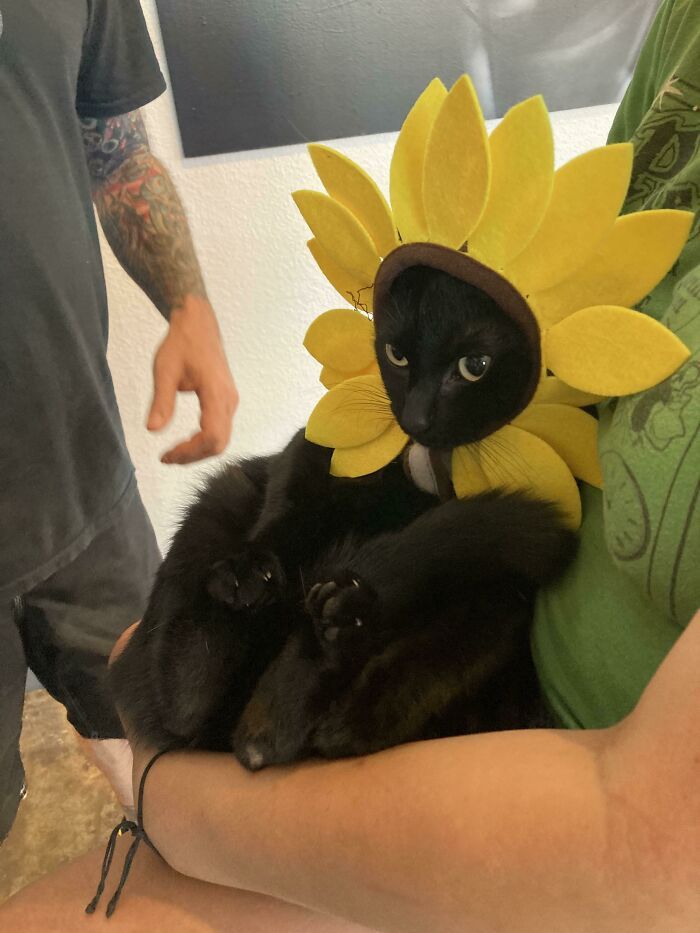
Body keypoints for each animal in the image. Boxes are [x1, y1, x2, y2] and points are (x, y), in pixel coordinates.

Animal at [112, 266, 576, 768]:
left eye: (475, 366)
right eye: (397, 356)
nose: (415, 417)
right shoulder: (315, 452)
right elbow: (287, 510)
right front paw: (251, 568)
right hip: (222, 499)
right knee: (191, 692)